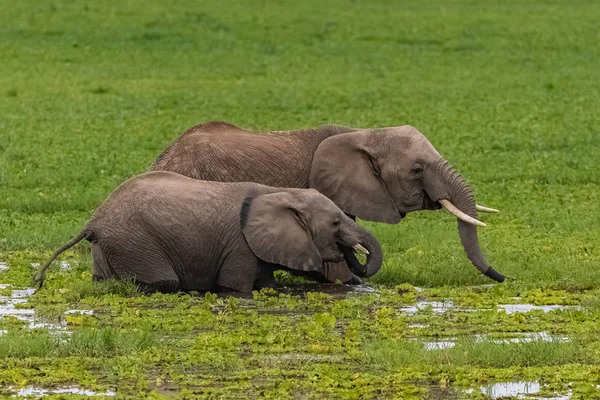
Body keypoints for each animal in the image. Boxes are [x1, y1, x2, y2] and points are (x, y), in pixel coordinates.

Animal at [34, 170, 380, 292]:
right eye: (336, 223)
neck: (279, 192)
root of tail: (93, 220)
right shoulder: (240, 246)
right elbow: (236, 287)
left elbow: (267, 283)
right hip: (135, 242)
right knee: (164, 282)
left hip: (110, 245)